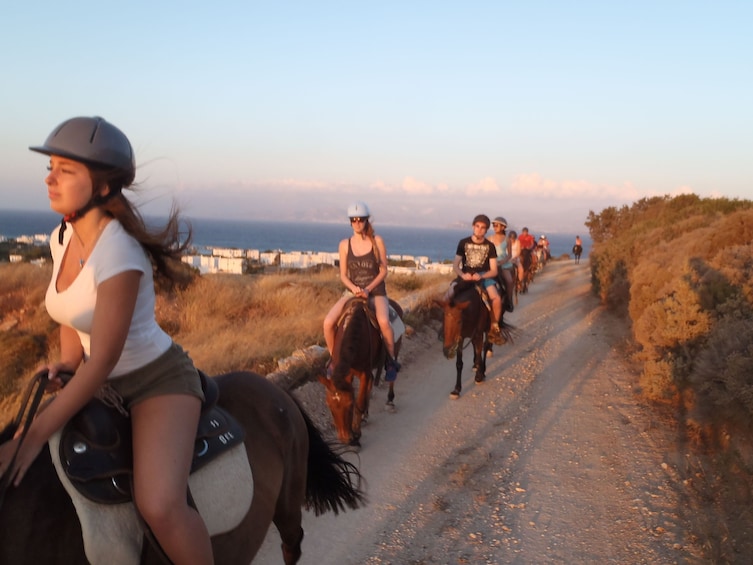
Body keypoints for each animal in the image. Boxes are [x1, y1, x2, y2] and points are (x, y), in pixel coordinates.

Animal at [318, 298, 402, 448]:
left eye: (350, 405)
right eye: (329, 405)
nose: (345, 439)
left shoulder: (364, 373)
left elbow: (360, 402)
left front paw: (356, 433)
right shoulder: (350, 373)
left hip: (395, 350)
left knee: (392, 374)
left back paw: (390, 401)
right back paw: (365, 416)